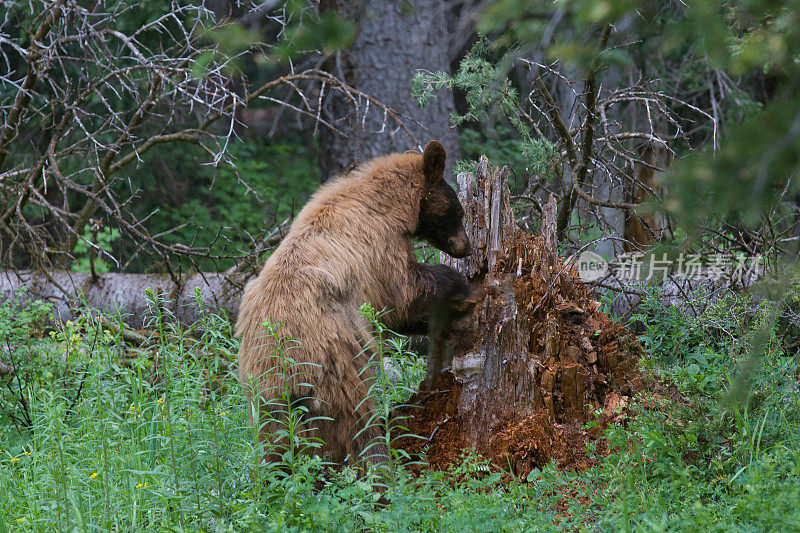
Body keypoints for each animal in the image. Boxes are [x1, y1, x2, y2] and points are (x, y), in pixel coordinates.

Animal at [239, 139, 476, 464]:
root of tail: (281, 364)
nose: (466, 247)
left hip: (266, 398)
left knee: (275, 444)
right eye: (459, 211)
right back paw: (379, 459)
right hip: (339, 357)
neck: (389, 204)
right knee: (357, 418)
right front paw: (460, 289)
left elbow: (393, 314)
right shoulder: (380, 245)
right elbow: (404, 292)